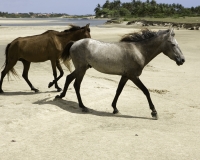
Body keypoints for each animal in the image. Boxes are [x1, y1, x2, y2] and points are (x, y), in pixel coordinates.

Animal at [55, 28, 185, 119]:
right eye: (173, 44)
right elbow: (145, 91)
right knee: (76, 84)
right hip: (81, 69)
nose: (182, 60)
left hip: (82, 68)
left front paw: (115, 108)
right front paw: (154, 112)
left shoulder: (125, 76)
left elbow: (119, 91)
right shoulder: (133, 76)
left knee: (69, 78)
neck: (139, 51)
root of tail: (74, 43)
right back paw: (82, 106)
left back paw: (61, 96)